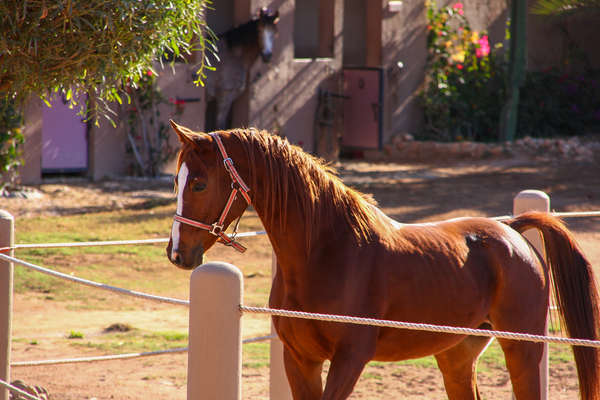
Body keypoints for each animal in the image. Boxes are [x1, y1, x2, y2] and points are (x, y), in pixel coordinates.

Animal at [164, 120, 600, 398]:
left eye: (199, 183)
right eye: (176, 181)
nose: (177, 252)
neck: (328, 252)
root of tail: (511, 229)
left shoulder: (350, 359)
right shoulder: (300, 360)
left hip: (523, 349)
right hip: (457, 355)